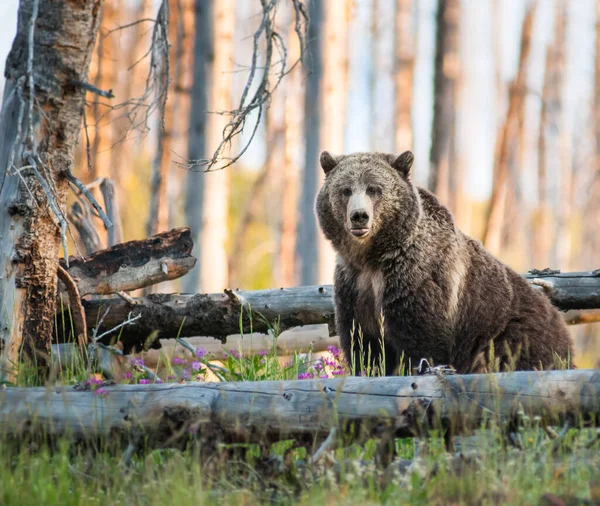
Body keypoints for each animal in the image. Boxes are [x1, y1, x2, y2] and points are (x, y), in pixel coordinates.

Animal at [316, 150, 576, 376]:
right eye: (345, 190)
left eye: (374, 189)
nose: (359, 216)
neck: (374, 257)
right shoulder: (355, 286)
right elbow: (363, 347)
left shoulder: (415, 281)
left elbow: (422, 342)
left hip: (510, 332)